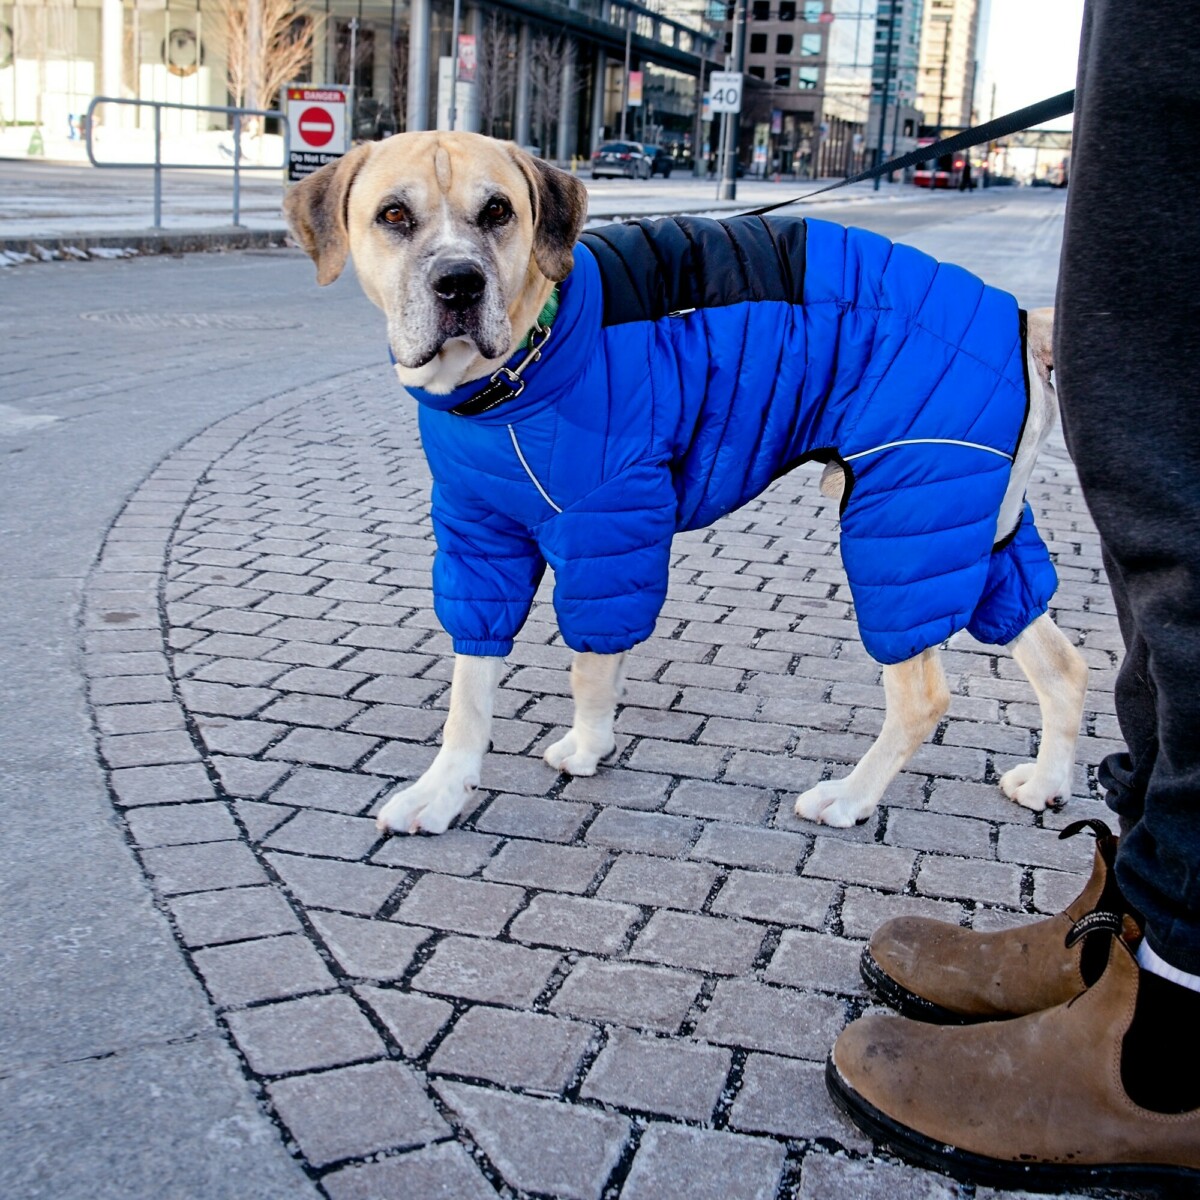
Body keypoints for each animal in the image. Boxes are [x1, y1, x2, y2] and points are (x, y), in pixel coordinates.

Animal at [283, 131, 1089, 835]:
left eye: (498, 212)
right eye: (394, 216)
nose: (458, 282)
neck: (521, 370)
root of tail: (1018, 315)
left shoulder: (608, 524)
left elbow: (589, 662)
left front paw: (589, 744)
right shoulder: (481, 539)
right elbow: (471, 686)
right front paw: (445, 791)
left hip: (903, 518)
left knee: (923, 693)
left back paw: (852, 796)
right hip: (976, 525)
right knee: (1060, 662)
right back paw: (1048, 782)